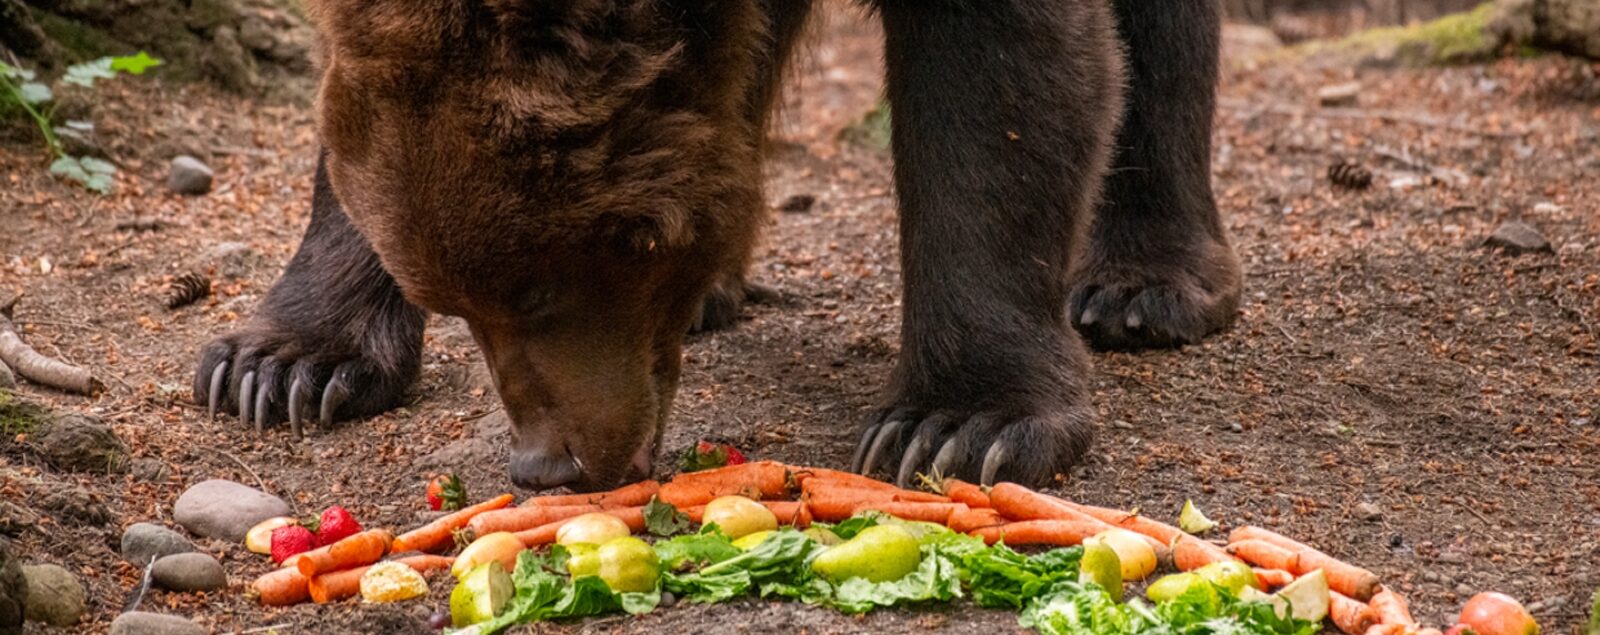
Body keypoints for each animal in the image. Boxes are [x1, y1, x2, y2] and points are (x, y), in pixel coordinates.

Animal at [194, 0, 1241, 493]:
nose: (550, 463)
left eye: (544, 285)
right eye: (460, 303)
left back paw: (1143, 284)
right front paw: (282, 364)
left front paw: (959, 423)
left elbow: (1003, 101)